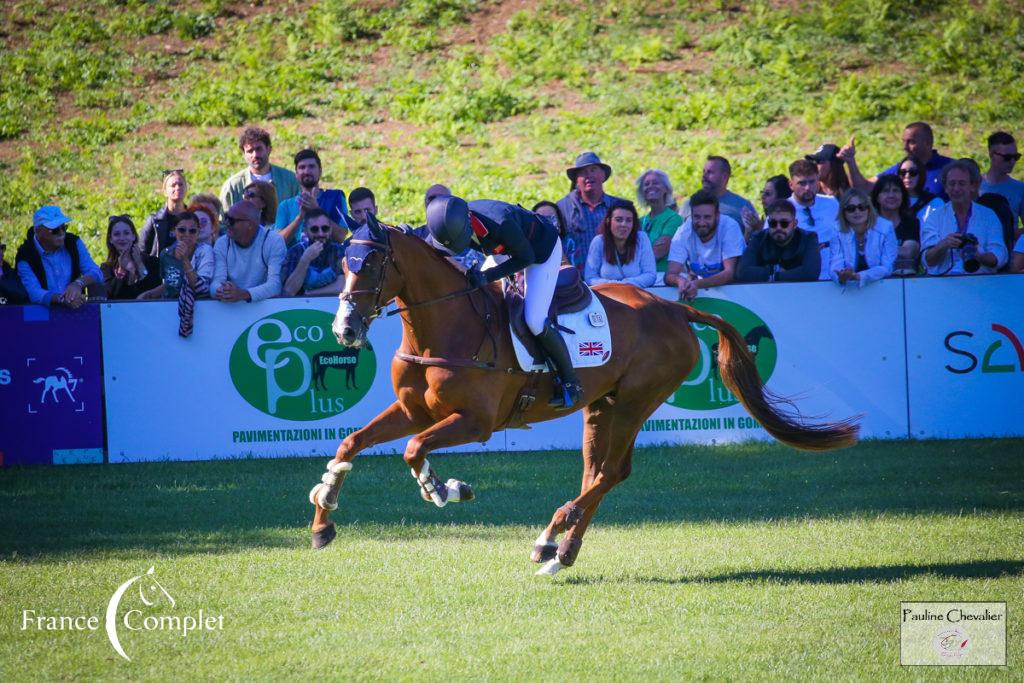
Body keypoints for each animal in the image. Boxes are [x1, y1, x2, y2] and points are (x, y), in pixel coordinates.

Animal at [309, 216, 856, 573]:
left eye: (372, 262)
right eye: (344, 260)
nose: (344, 330)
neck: (442, 326)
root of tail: (674, 308)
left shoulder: (475, 422)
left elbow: (412, 450)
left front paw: (444, 489)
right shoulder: (412, 410)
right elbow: (351, 443)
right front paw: (322, 518)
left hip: (636, 400)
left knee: (611, 472)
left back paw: (551, 538)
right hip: (602, 405)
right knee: (598, 472)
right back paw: (560, 552)